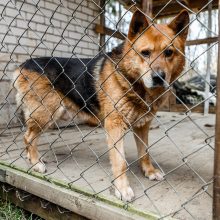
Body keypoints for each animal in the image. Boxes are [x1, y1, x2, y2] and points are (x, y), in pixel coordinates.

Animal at [12, 9, 189, 202]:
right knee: (28, 137)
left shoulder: (142, 126)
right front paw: (122, 188)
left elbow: (145, 152)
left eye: (169, 52)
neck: (134, 83)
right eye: (145, 53)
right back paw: (36, 163)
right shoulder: (115, 125)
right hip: (47, 113)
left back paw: (31, 159)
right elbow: (120, 162)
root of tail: (23, 65)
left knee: (28, 136)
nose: (159, 77)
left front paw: (148, 171)